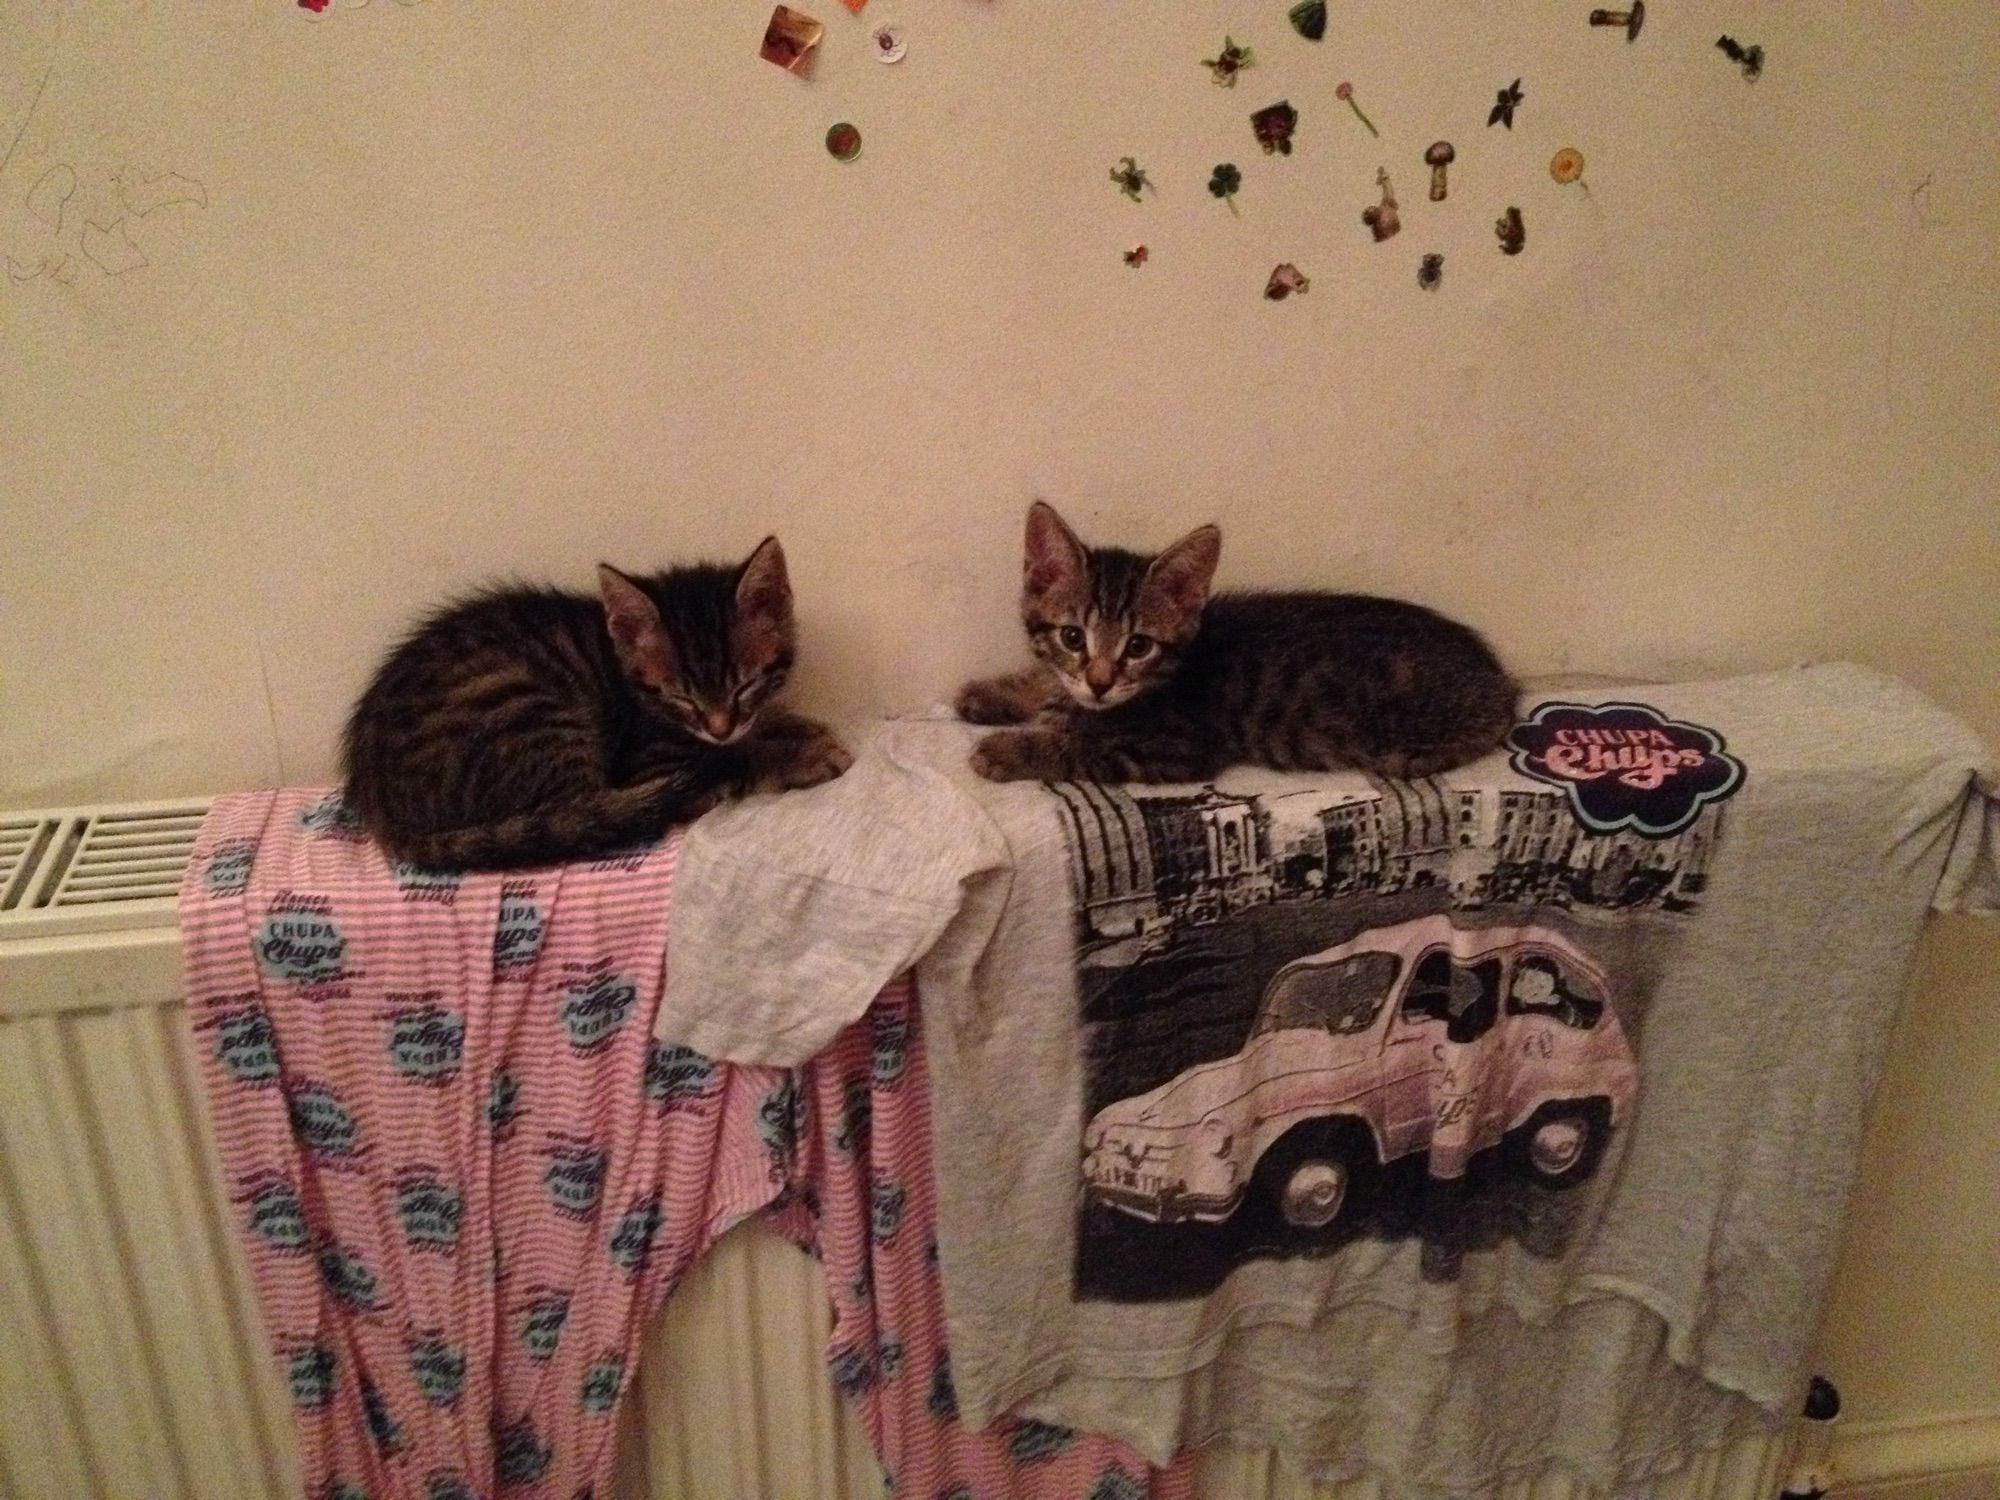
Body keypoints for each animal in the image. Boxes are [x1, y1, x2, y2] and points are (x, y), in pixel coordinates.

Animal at [344, 536, 844, 868]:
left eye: (746, 685)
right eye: (680, 695)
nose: (719, 726)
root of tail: (381, 810)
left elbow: (752, 730)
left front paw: (793, 726)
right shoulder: (649, 760)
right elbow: (732, 756)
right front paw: (801, 754)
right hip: (524, 705)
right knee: (584, 815)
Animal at [956, 506, 1512, 788]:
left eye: (1138, 646)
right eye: (1073, 637)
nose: (1099, 683)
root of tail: (1498, 676)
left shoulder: (1176, 749)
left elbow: (1080, 747)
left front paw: (1009, 749)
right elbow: (1045, 685)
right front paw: (990, 694)